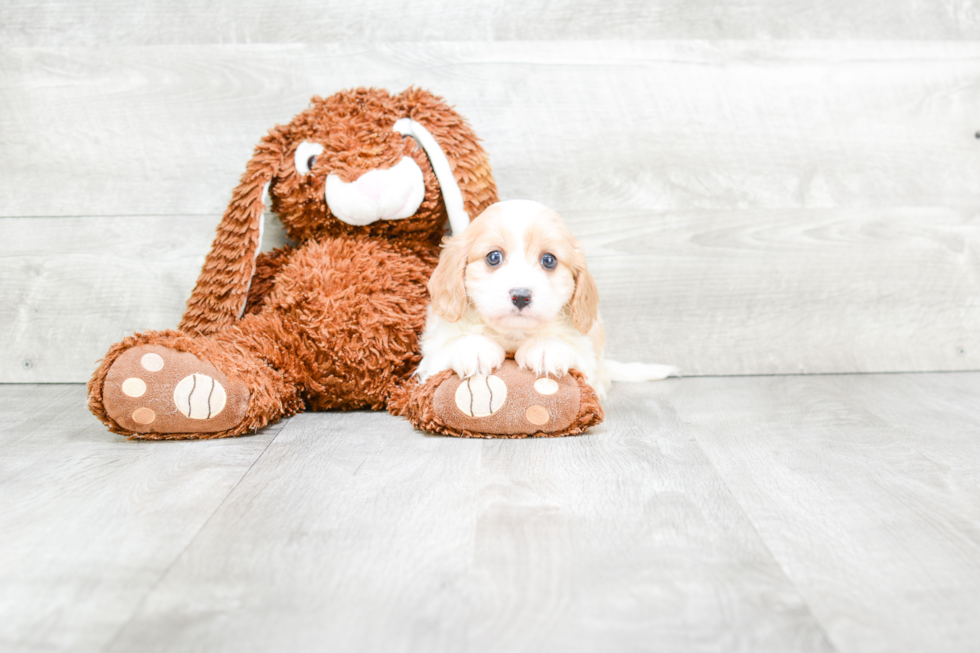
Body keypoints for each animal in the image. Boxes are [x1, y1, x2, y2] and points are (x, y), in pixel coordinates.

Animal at [414, 199, 672, 398]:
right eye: (493, 257)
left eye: (549, 260)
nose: (520, 296)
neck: (513, 334)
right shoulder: (432, 354)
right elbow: (448, 346)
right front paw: (473, 348)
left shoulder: (585, 351)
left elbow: (570, 349)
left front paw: (546, 348)